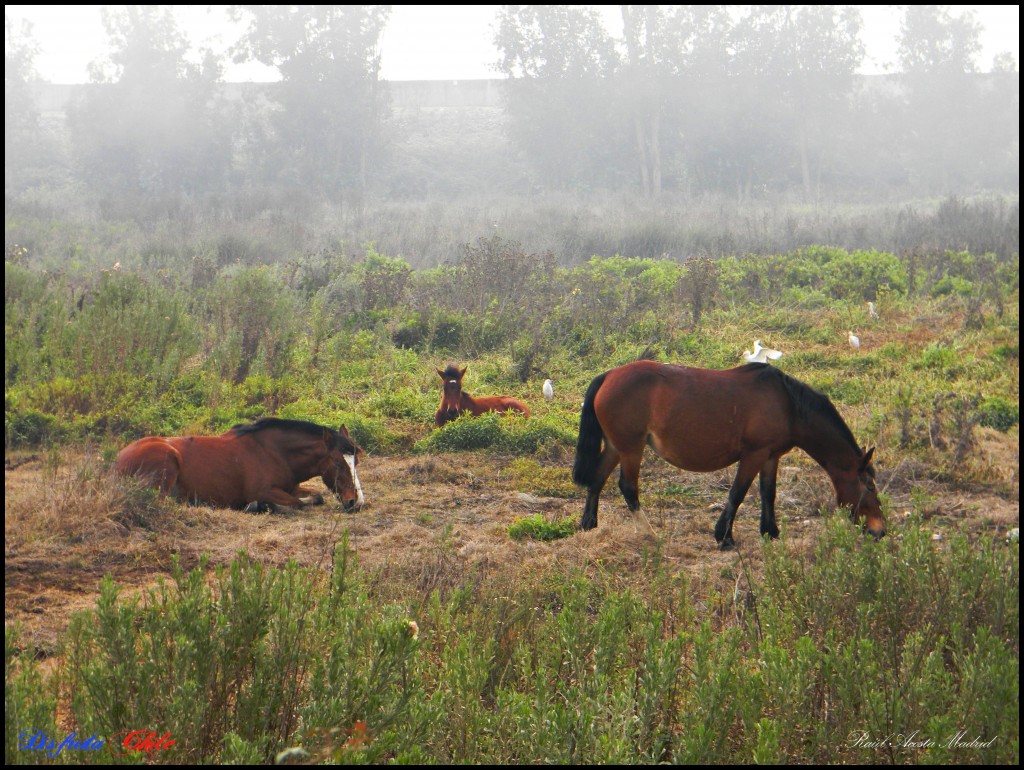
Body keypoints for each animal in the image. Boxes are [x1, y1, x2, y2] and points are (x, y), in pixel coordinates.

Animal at [117, 417, 364, 514]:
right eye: (337, 462)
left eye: (356, 461)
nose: (356, 501)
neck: (275, 452)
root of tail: (118, 459)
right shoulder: (263, 490)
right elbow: (295, 503)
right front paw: (259, 506)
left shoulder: (291, 487)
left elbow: (317, 496)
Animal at [573, 360, 884, 548]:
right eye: (870, 487)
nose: (879, 531)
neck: (788, 405)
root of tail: (608, 376)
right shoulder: (754, 455)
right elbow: (738, 493)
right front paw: (724, 536)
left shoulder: (771, 456)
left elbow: (768, 493)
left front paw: (770, 532)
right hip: (631, 449)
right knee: (628, 487)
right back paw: (649, 533)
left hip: (616, 447)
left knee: (597, 480)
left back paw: (589, 524)